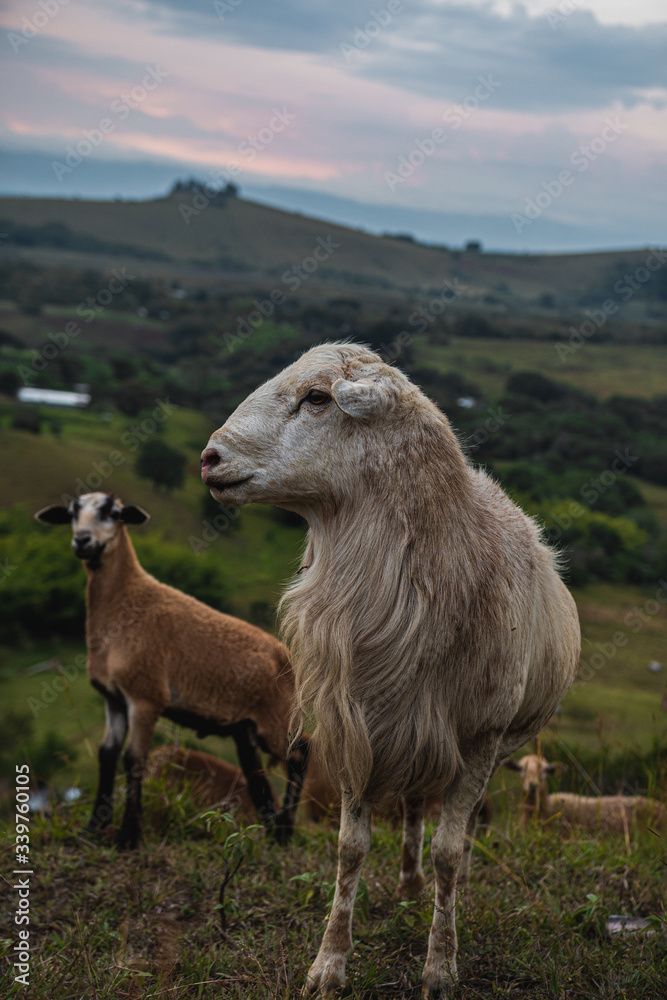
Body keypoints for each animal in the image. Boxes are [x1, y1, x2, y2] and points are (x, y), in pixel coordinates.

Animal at [35, 492, 308, 850]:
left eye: (112, 512)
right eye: (71, 513)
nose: (82, 541)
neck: (122, 602)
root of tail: (286, 653)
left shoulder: (146, 696)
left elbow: (134, 759)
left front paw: (128, 836)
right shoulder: (114, 699)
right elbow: (107, 755)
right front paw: (92, 828)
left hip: (277, 717)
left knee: (301, 756)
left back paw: (286, 829)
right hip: (245, 727)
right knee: (256, 772)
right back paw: (272, 832)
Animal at [201, 342, 580, 997]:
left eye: (318, 397)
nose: (209, 458)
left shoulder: (480, 739)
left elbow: (449, 851)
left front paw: (440, 967)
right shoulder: (360, 724)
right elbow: (351, 848)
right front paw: (329, 963)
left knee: (456, 828)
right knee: (412, 806)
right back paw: (406, 884)